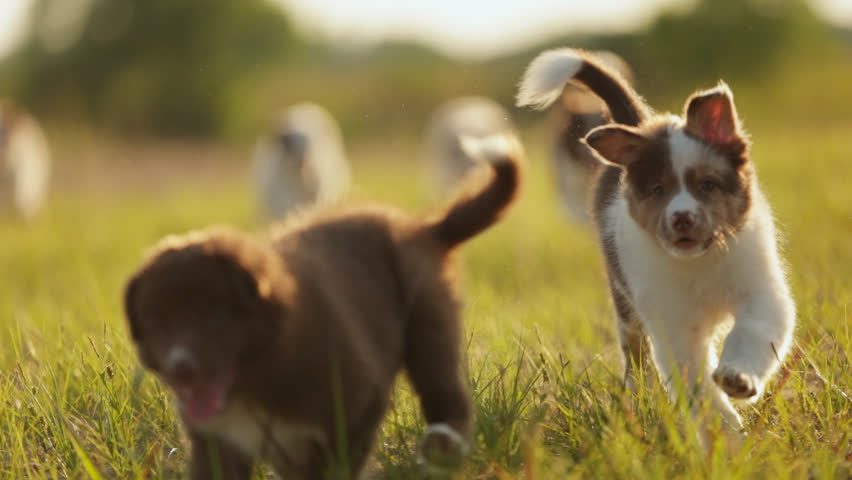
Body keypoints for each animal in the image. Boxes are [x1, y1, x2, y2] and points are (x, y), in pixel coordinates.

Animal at [123, 133, 524, 478]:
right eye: (157, 324)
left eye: (215, 318)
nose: (181, 370)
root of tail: (422, 228)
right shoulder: (216, 442)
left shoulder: (358, 404)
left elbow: (336, 467)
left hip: (429, 323)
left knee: (445, 396)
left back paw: (442, 458)